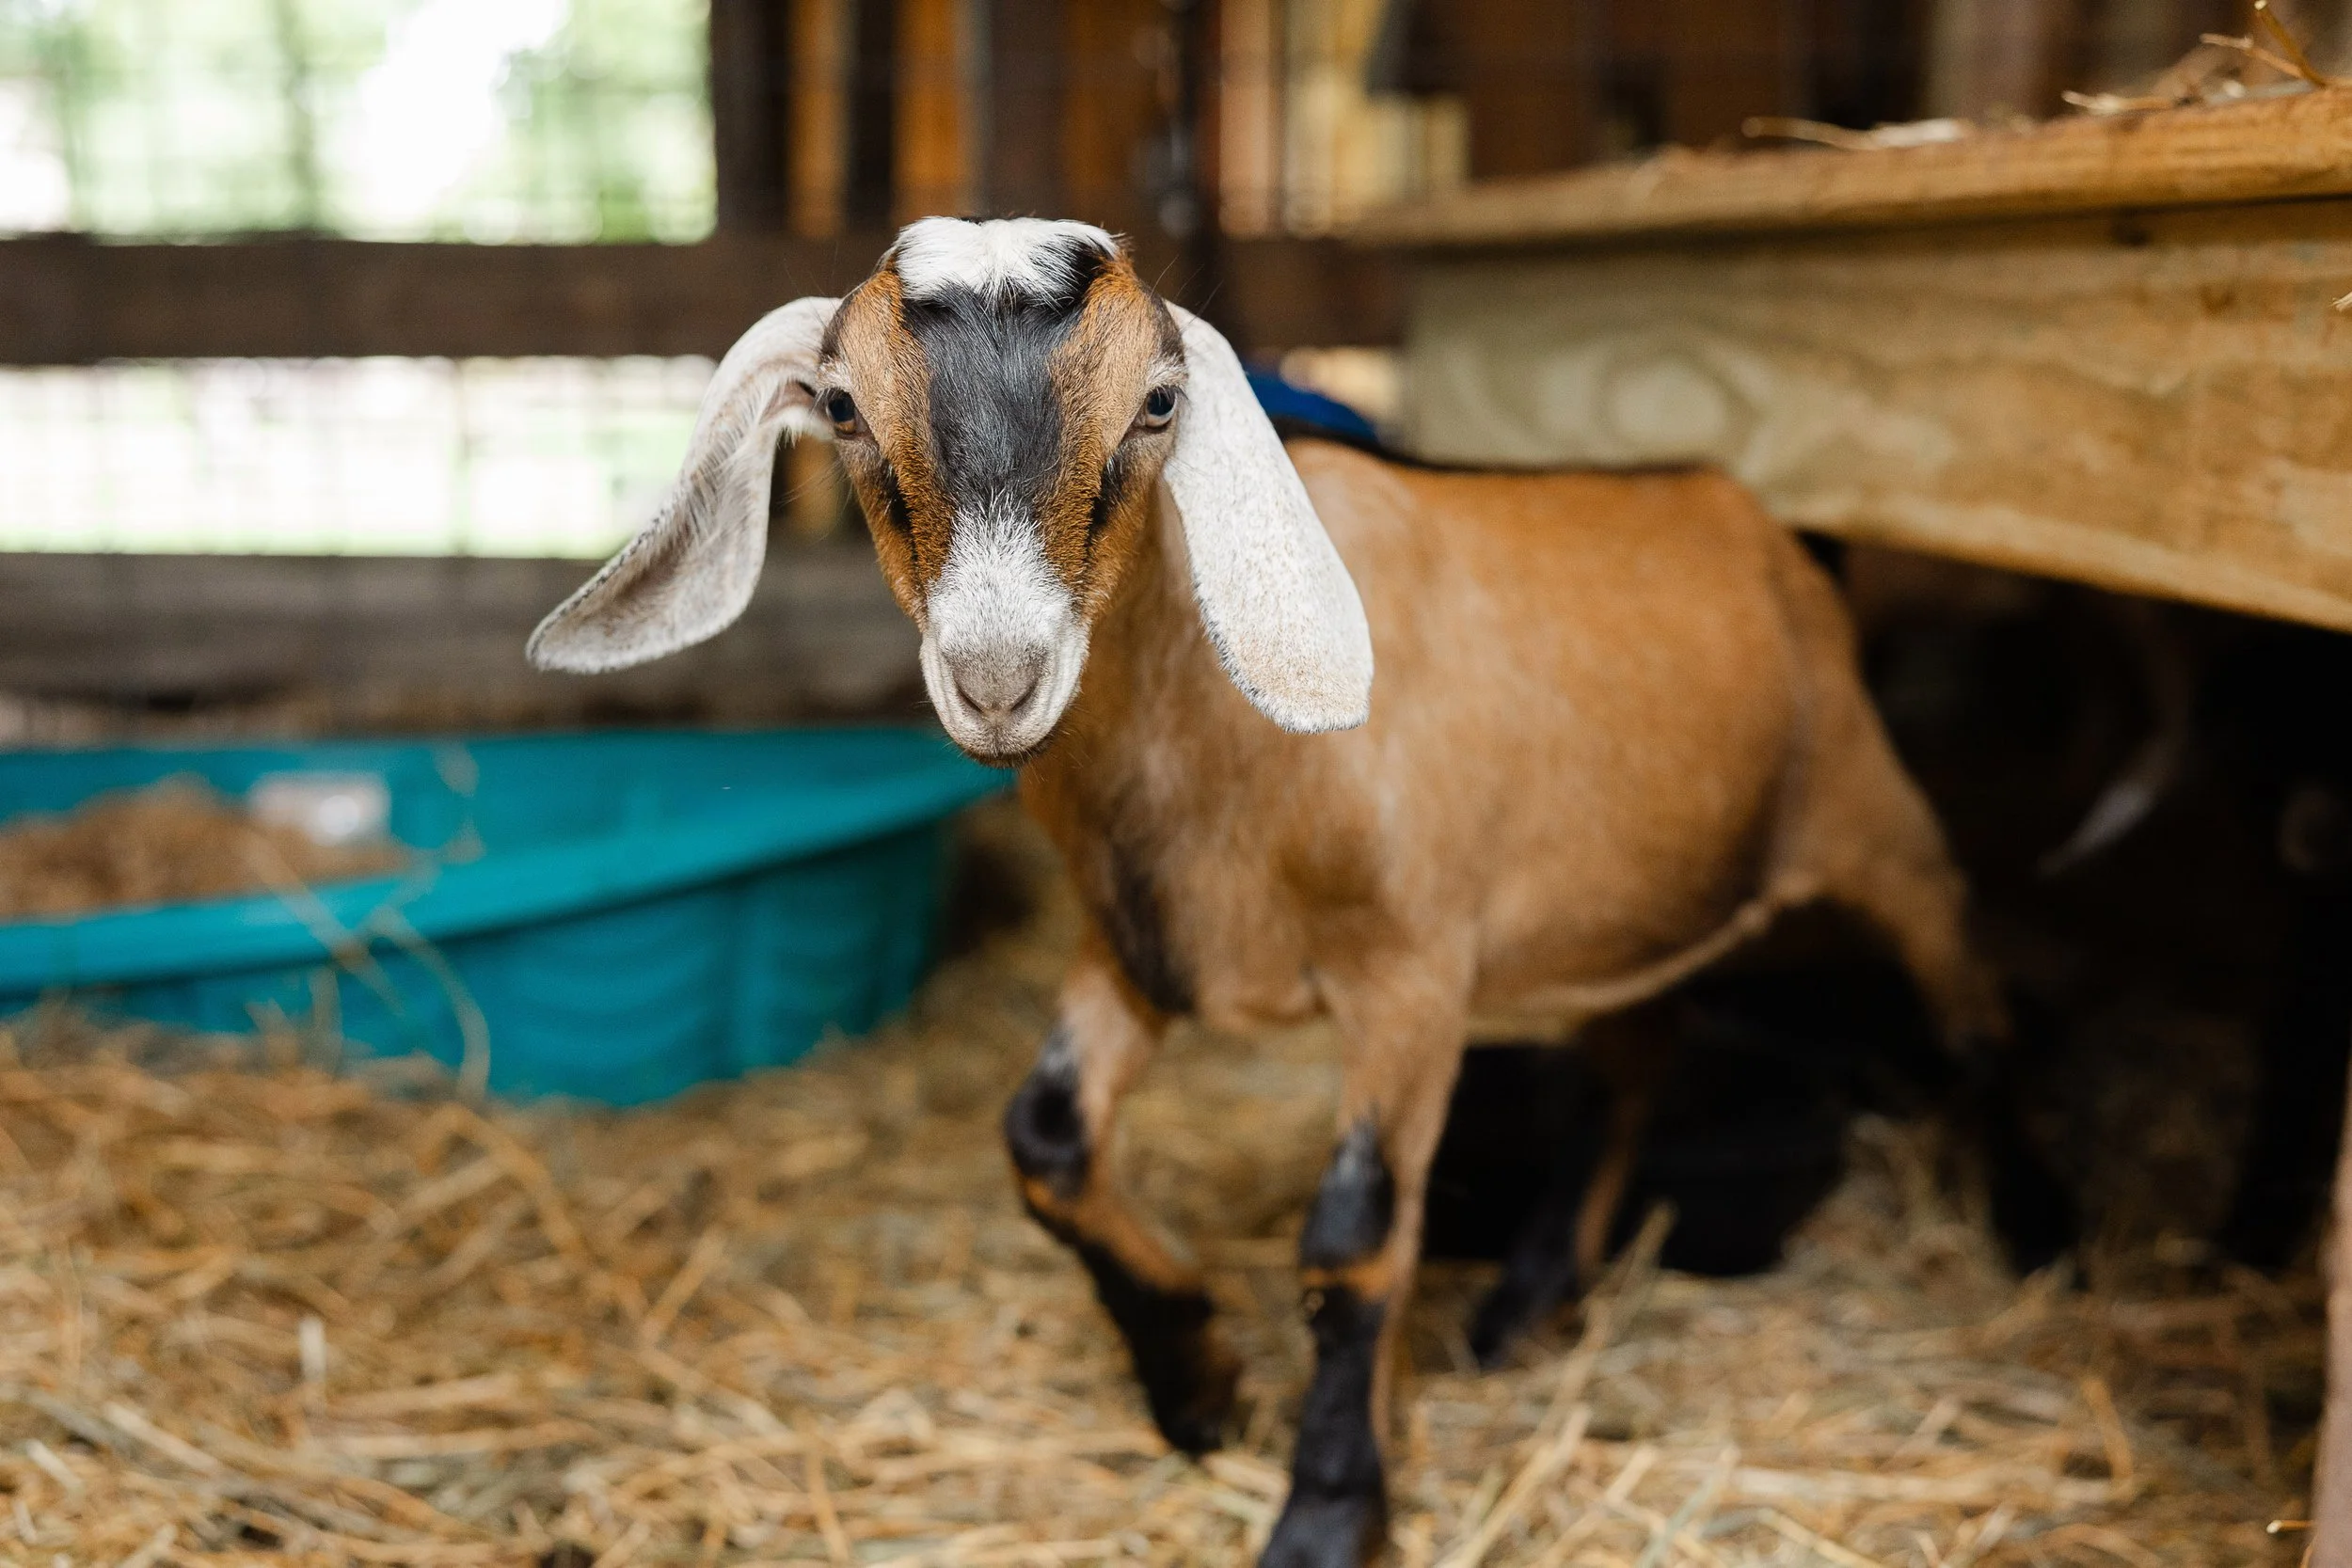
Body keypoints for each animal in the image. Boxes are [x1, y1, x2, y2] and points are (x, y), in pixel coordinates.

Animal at [531, 217, 2016, 1567]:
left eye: (1158, 403)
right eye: (843, 405)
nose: (999, 677)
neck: (1215, 747)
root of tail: (1753, 515)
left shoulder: (1412, 974)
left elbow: (1354, 1235)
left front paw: (1328, 1509)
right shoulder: (1135, 945)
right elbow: (1044, 1138)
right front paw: (1195, 1382)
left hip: (1869, 816)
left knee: (1961, 981)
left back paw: (2020, 1226)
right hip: (1622, 902)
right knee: (1633, 1057)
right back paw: (1525, 1303)